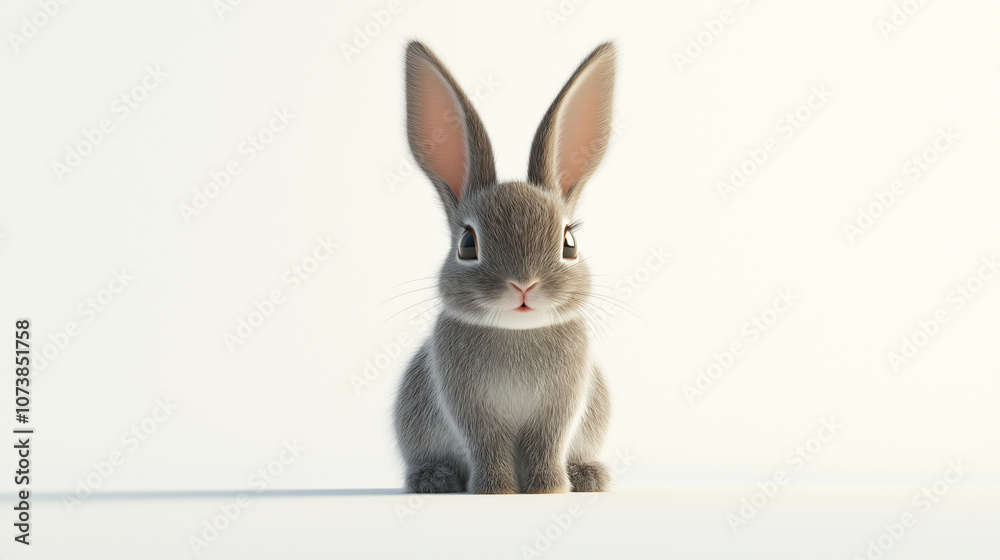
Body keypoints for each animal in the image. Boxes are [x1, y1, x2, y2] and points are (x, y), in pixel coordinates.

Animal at [393, 40, 616, 494]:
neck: (517, 332)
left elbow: (546, 443)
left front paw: (548, 488)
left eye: (569, 244)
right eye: (467, 244)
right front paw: (495, 490)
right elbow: (487, 444)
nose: (524, 286)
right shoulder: (470, 410)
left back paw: (587, 476)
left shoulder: (559, 408)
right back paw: (434, 479)